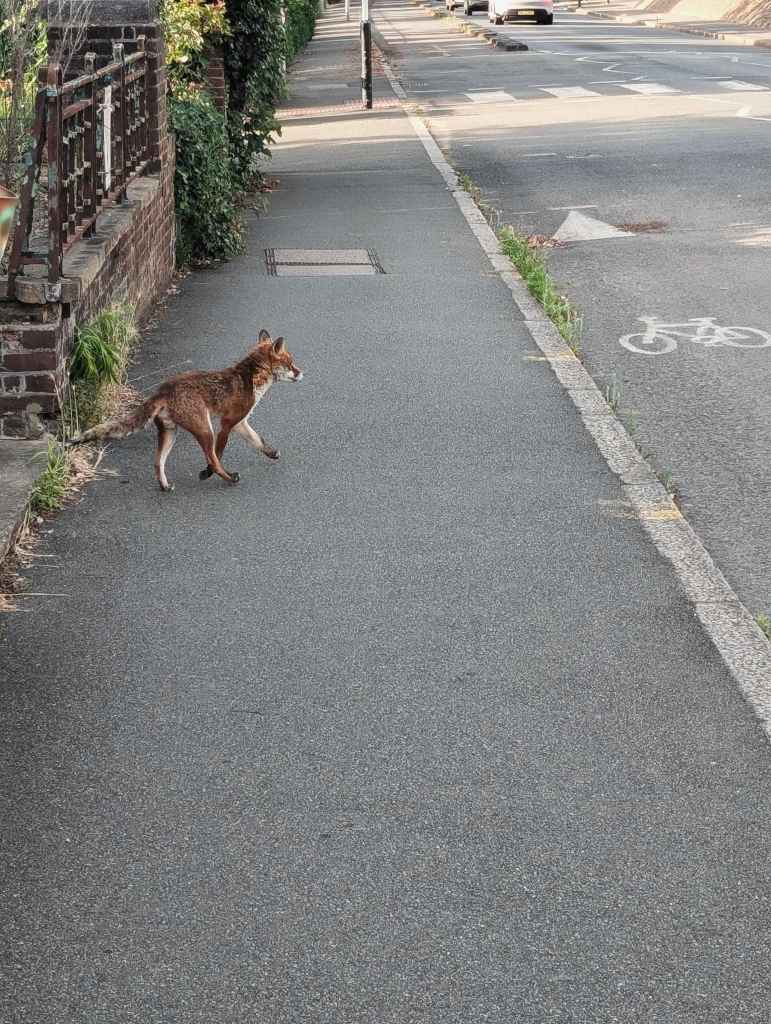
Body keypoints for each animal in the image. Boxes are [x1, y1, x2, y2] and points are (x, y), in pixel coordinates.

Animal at [68, 329, 303, 492]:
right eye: (290, 363)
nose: (302, 373)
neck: (251, 377)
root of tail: (163, 389)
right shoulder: (226, 424)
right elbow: (218, 455)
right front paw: (206, 473)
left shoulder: (240, 423)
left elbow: (259, 441)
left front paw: (271, 453)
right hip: (205, 430)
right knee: (213, 459)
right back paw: (228, 477)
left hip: (170, 433)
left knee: (157, 463)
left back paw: (164, 486)